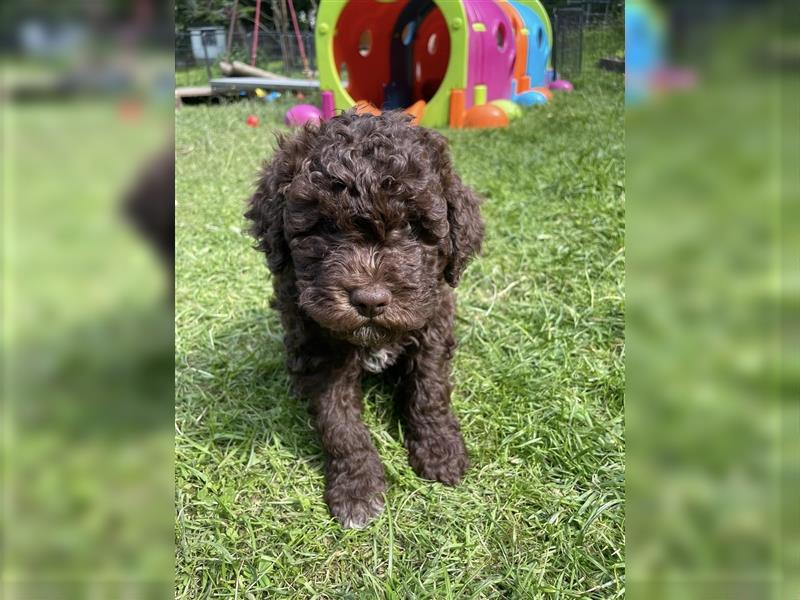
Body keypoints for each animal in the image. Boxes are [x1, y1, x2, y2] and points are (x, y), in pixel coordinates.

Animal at [244, 109, 482, 528]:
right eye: (324, 227)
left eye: (415, 228)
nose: (370, 301)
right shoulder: (319, 351)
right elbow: (340, 423)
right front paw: (357, 488)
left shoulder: (433, 326)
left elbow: (429, 391)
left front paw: (440, 450)